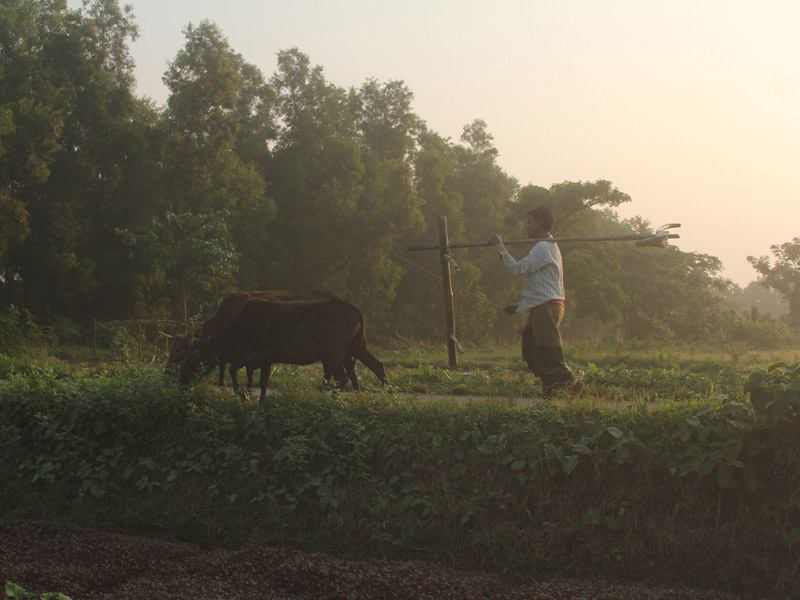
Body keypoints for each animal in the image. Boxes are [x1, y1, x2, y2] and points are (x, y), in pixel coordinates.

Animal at [177, 296, 388, 404]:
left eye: (193, 354)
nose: (182, 380)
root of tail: (356, 310)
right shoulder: (266, 360)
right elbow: (261, 383)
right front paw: (258, 400)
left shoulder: (258, 354)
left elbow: (233, 369)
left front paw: (242, 394)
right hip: (355, 347)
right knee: (376, 365)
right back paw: (387, 391)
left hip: (335, 351)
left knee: (342, 377)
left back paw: (330, 399)